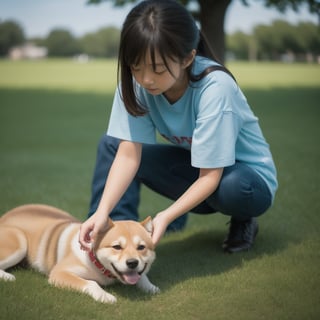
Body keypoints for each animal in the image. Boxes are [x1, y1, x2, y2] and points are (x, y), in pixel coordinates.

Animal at [0, 204, 159, 304]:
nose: (132, 263)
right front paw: (104, 296)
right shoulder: (59, 273)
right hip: (20, 242)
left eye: (141, 247)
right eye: (117, 247)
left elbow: (142, 276)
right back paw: (7, 276)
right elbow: (91, 283)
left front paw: (151, 287)